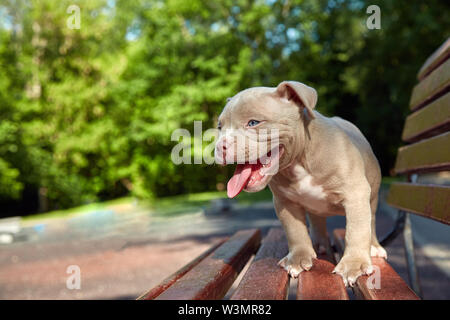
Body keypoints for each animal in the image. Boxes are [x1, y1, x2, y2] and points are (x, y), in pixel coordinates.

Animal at [214, 81, 386, 286]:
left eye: (254, 123)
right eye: (219, 127)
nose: (220, 146)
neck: (300, 159)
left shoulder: (355, 194)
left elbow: (356, 229)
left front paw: (354, 264)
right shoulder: (285, 202)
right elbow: (294, 230)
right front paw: (298, 259)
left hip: (372, 198)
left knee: (371, 222)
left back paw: (374, 247)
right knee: (317, 221)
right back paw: (319, 244)